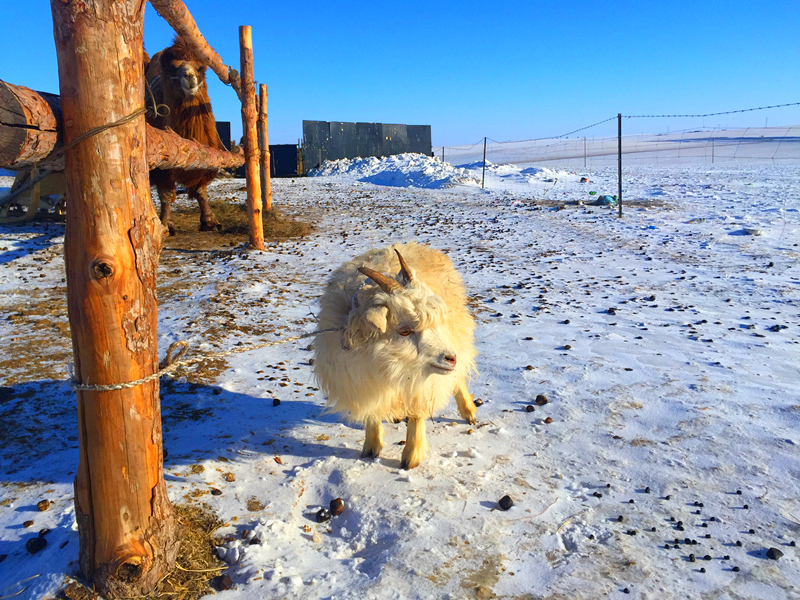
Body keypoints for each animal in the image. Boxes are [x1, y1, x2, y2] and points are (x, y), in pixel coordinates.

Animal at [312, 241, 476, 472]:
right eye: (404, 330)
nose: (450, 359)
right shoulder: (363, 380)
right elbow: (373, 411)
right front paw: (371, 448)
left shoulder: (422, 380)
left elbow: (417, 411)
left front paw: (411, 457)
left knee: (458, 375)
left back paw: (468, 411)